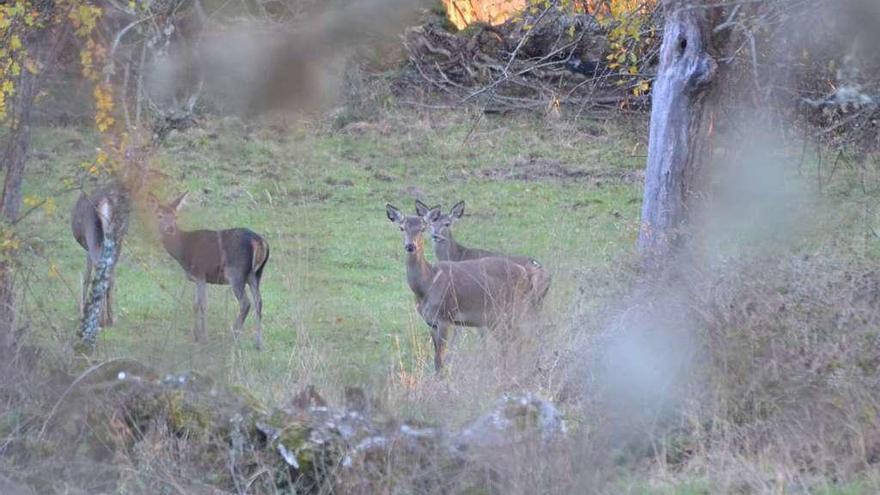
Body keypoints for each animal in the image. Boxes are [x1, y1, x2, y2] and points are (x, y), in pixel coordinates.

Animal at [71, 188, 119, 328]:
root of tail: (106, 203)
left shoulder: (86, 246)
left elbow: (87, 276)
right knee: (110, 273)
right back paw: (110, 318)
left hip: (92, 237)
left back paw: (100, 319)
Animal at [147, 192, 268, 350]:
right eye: (159, 215)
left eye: (176, 216)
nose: (170, 228)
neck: (183, 251)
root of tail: (259, 241)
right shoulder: (195, 278)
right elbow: (195, 305)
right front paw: (196, 336)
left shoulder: (200, 272)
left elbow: (203, 305)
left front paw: (204, 338)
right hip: (255, 274)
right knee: (259, 301)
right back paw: (258, 343)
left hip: (235, 272)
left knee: (246, 303)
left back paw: (233, 336)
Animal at [386, 202, 536, 372]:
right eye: (401, 228)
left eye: (423, 228)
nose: (411, 246)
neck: (427, 286)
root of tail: (526, 275)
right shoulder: (430, 322)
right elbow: (436, 359)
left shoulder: (445, 317)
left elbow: (440, 359)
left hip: (513, 308)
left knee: (519, 338)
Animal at [418, 199, 552, 310]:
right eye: (430, 224)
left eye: (447, 224)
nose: (435, 236)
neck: (457, 255)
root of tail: (543, 270)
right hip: (537, 299)